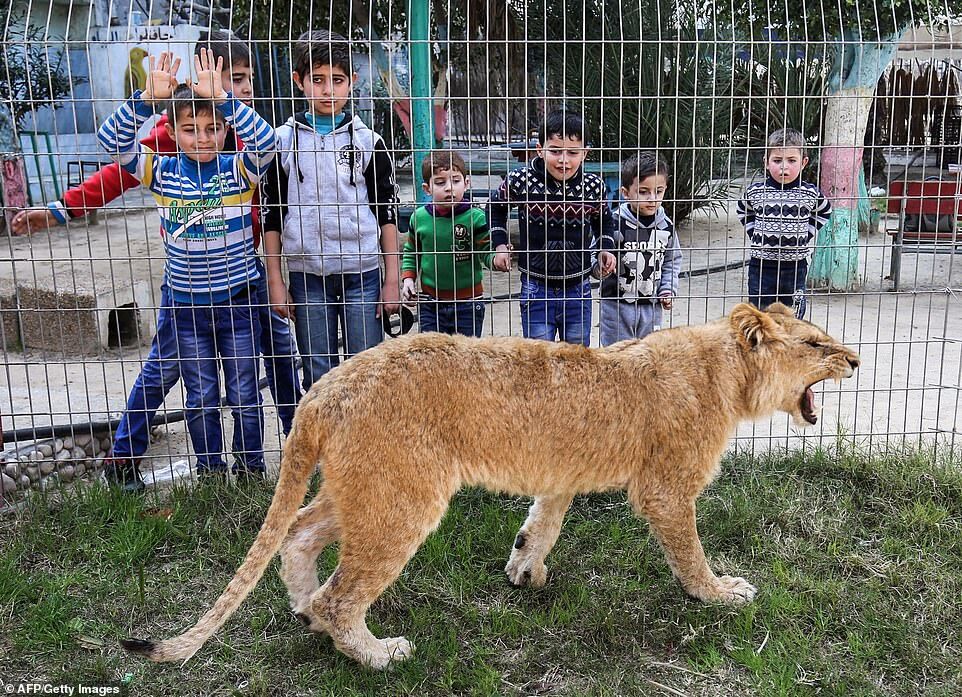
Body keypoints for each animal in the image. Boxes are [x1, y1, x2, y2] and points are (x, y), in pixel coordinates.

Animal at [120, 304, 856, 668]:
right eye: (817, 345)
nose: (854, 358)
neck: (726, 372)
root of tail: (322, 388)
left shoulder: (563, 472)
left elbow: (545, 519)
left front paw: (525, 569)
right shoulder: (667, 488)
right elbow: (691, 553)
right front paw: (720, 593)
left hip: (370, 487)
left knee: (299, 535)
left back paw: (305, 613)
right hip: (403, 498)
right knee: (341, 593)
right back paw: (375, 654)